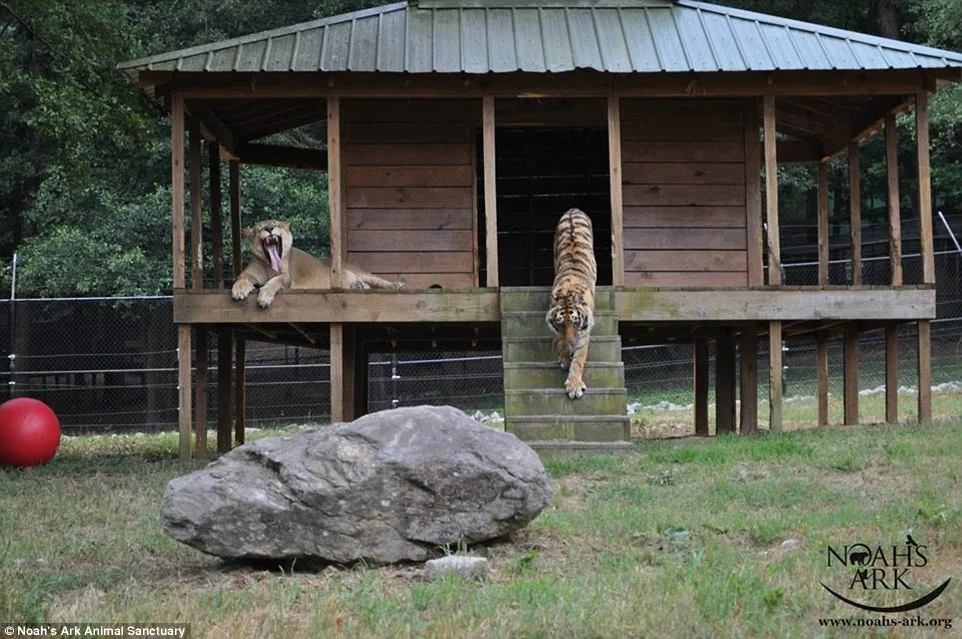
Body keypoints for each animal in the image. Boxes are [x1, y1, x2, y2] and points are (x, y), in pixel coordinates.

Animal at [230, 219, 404, 308]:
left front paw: (265, 296)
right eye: (259, 228)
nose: (269, 228)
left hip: (362, 273)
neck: (268, 263)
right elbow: (241, 279)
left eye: (276, 224)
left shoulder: (287, 277)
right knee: (366, 286)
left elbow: (275, 280)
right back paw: (357, 286)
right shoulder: (248, 274)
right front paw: (238, 290)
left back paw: (397, 285)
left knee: (379, 281)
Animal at [545, 208, 597, 400]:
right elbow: (560, 342)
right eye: (561, 323)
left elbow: (579, 359)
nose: (571, 343)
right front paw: (565, 357)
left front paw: (574, 385)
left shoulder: (584, 332)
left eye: (575, 322)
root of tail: (573, 210)